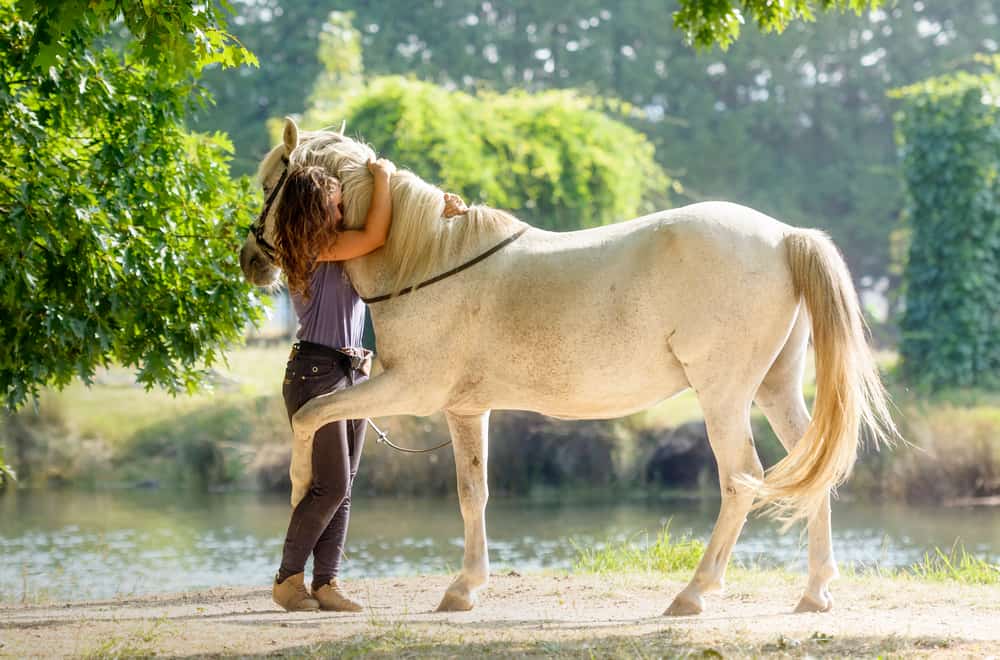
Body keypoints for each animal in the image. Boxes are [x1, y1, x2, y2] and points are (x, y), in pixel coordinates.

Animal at [239, 117, 896, 616]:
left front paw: (297, 490)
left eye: (272, 181)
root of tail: (784, 236)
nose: (250, 259)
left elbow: (311, 416)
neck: (426, 260)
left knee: (741, 478)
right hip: (775, 389)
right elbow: (473, 493)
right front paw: (464, 588)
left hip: (724, 396)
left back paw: (694, 593)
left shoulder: (410, 390)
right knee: (812, 469)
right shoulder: (466, 409)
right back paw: (814, 593)